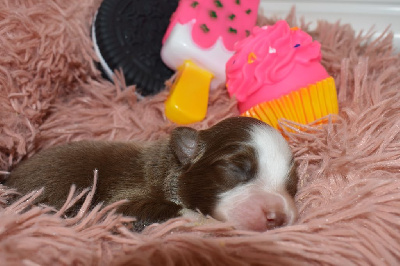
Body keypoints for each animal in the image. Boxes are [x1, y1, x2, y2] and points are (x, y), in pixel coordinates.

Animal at [3, 116, 296, 231]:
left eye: (292, 185)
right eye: (236, 168)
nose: (278, 216)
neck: (169, 167)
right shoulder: (115, 201)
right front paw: (208, 222)